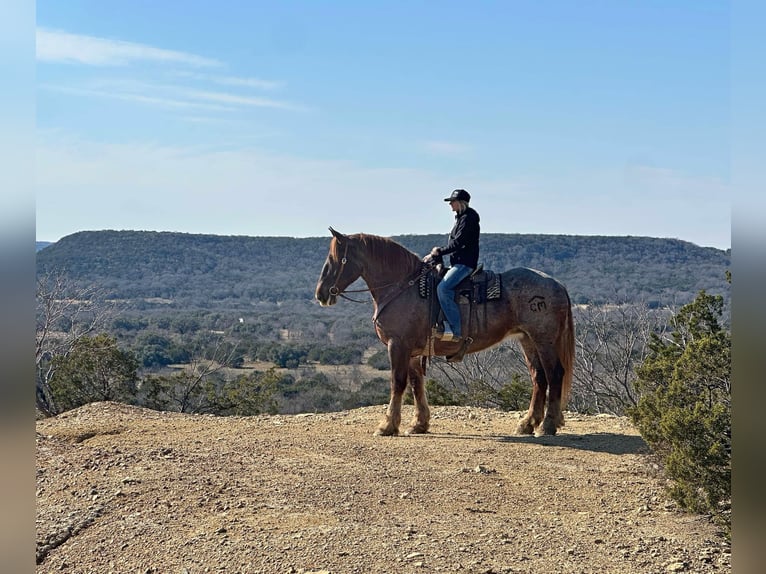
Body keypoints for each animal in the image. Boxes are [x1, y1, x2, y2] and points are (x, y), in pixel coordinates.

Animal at [315, 228, 575, 437]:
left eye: (335, 259)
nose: (321, 293)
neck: (402, 287)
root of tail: (557, 285)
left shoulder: (398, 345)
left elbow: (397, 383)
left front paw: (387, 426)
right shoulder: (412, 352)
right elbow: (416, 384)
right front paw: (419, 424)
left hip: (544, 340)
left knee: (554, 375)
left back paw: (547, 426)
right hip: (527, 340)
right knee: (539, 378)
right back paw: (527, 424)